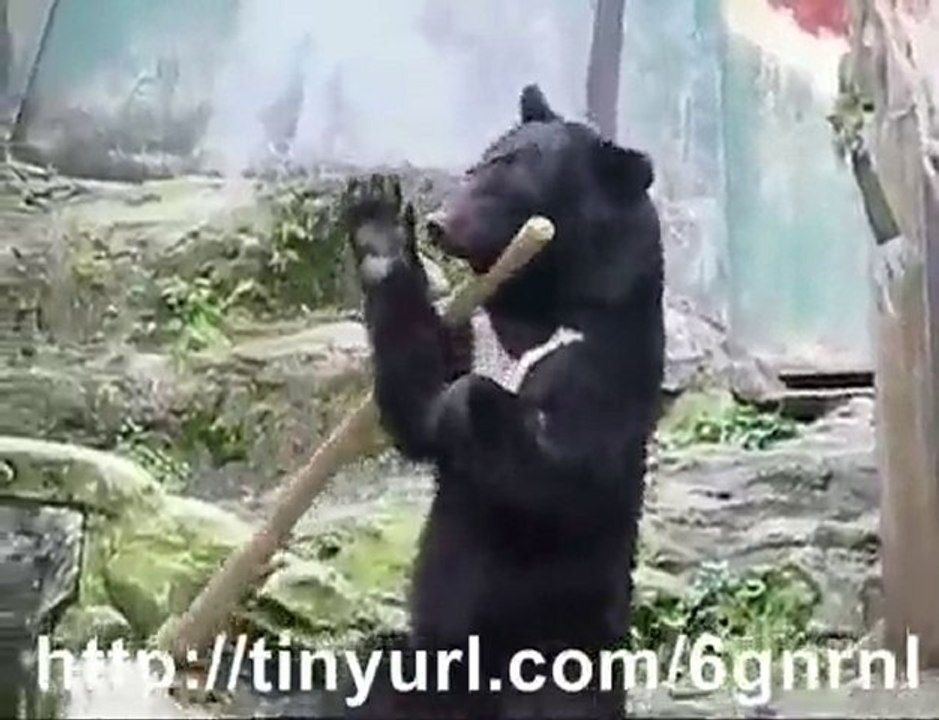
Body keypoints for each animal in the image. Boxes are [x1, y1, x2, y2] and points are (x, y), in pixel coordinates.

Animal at [337, 84, 664, 719]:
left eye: (511, 177)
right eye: (478, 164)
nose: (439, 224)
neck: (536, 302)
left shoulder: (604, 353)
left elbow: (567, 469)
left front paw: (467, 405)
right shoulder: (476, 327)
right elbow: (416, 395)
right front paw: (378, 227)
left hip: (563, 664)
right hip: (423, 663)